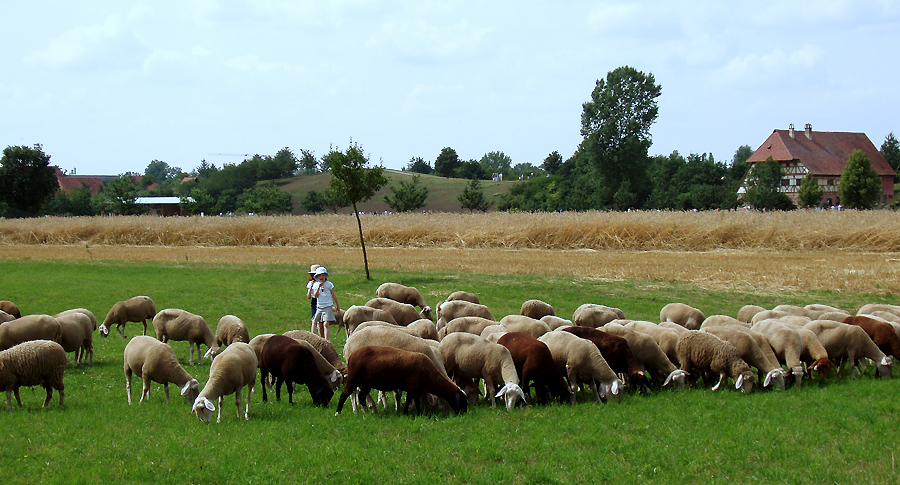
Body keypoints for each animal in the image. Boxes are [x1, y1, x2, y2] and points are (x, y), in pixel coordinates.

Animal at [334, 344, 468, 416]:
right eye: (462, 401)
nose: (464, 414)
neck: (430, 375)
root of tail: (351, 356)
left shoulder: (412, 389)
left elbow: (411, 401)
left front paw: (407, 413)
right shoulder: (413, 386)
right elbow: (414, 402)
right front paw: (416, 414)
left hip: (367, 383)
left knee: (361, 397)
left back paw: (367, 412)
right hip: (354, 378)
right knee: (344, 395)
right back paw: (338, 413)